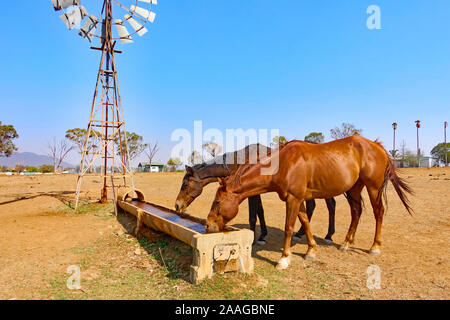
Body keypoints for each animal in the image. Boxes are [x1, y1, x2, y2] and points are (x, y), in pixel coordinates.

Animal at [174, 144, 336, 242]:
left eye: (185, 184)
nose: (177, 205)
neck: (240, 161)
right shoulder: (254, 191)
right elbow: (260, 211)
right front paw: (263, 235)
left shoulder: (251, 192)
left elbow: (253, 215)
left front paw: (254, 239)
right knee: (312, 206)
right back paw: (301, 233)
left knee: (331, 205)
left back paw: (328, 236)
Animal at [206, 136, 414, 270]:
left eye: (217, 202)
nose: (208, 225)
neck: (284, 164)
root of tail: (377, 145)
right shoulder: (298, 200)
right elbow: (305, 222)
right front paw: (311, 250)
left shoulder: (293, 199)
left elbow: (289, 227)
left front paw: (284, 259)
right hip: (354, 189)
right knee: (356, 212)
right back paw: (346, 243)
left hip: (373, 188)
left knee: (378, 212)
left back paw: (375, 247)